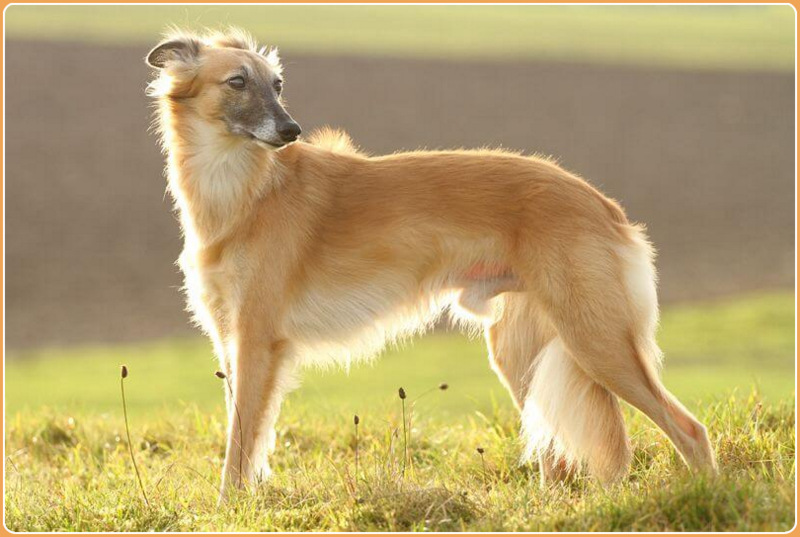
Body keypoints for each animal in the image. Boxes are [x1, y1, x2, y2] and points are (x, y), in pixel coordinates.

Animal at [145, 28, 720, 498]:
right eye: (238, 81)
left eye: (278, 84)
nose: (291, 130)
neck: (247, 191)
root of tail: (604, 206)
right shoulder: (232, 338)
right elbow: (246, 439)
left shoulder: (258, 340)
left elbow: (240, 446)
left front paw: (230, 508)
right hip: (521, 353)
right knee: (554, 461)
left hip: (595, 340)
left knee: (690, 430)